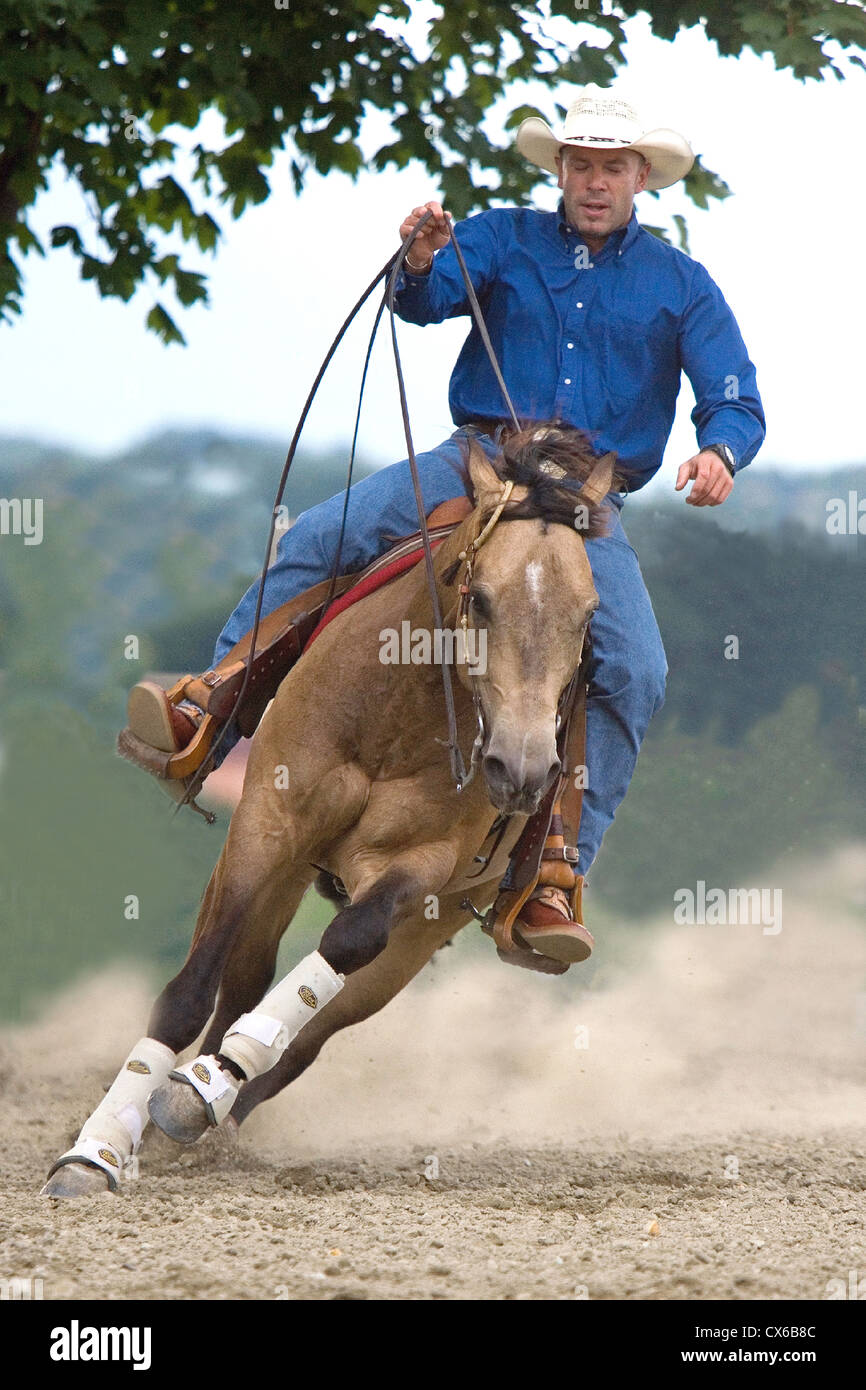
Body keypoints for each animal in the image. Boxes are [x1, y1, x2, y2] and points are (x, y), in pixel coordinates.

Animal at [41, 424, 616, 1197]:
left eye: (588, 613)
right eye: (482, 598)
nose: (522, 771)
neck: (395, 714)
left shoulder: (419, 869)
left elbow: (345, 943)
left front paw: (198, 1091)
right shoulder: (266, 825)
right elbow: (190, 991)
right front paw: (93, 1154)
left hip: (420, 935)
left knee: (312, 1030)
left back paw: (208, 1097)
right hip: (280, 872)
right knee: (243, 980)